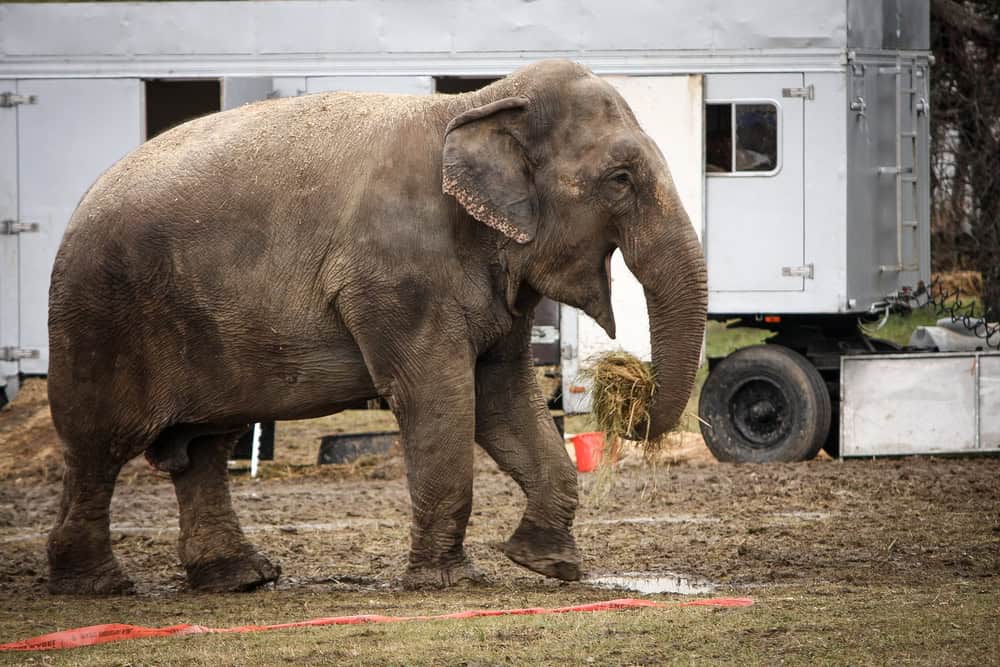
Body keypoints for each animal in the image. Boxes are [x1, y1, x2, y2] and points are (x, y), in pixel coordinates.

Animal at [45, 59, 708, 594]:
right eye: (620, 179)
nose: (631, 395)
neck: (476, 102)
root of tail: (79, 209)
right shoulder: (396, 276)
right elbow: (439, 398)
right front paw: (449, 581)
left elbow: (504, 399)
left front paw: (548, 564)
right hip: (98, 319)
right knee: (97, 448)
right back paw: (98, 586)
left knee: (205, 447)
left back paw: (240, 579)